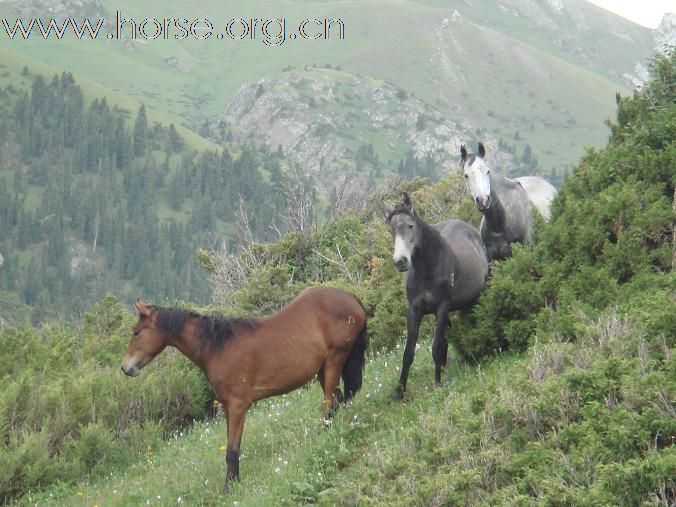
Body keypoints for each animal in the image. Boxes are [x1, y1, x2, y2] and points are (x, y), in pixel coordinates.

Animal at [119, 288, 368, 494]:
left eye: (136, 332)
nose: (125, 367)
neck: (219, 348)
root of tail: (351, 297)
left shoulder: (238, 406)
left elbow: (232, 450)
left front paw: (230, 487)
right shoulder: (229, 408)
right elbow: (231, 448)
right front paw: (233, 482)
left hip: (335, 360)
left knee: (329, 402)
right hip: (323, 369)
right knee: (337, 398)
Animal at [386, 192, 486, 398]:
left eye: (410, 225)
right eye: (391, 230)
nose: (400, 262)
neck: (427, 269)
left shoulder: (442, 308)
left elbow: (436, 348)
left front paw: (438, 383)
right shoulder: (414, 311)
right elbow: (408, 353)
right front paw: (399, 391)